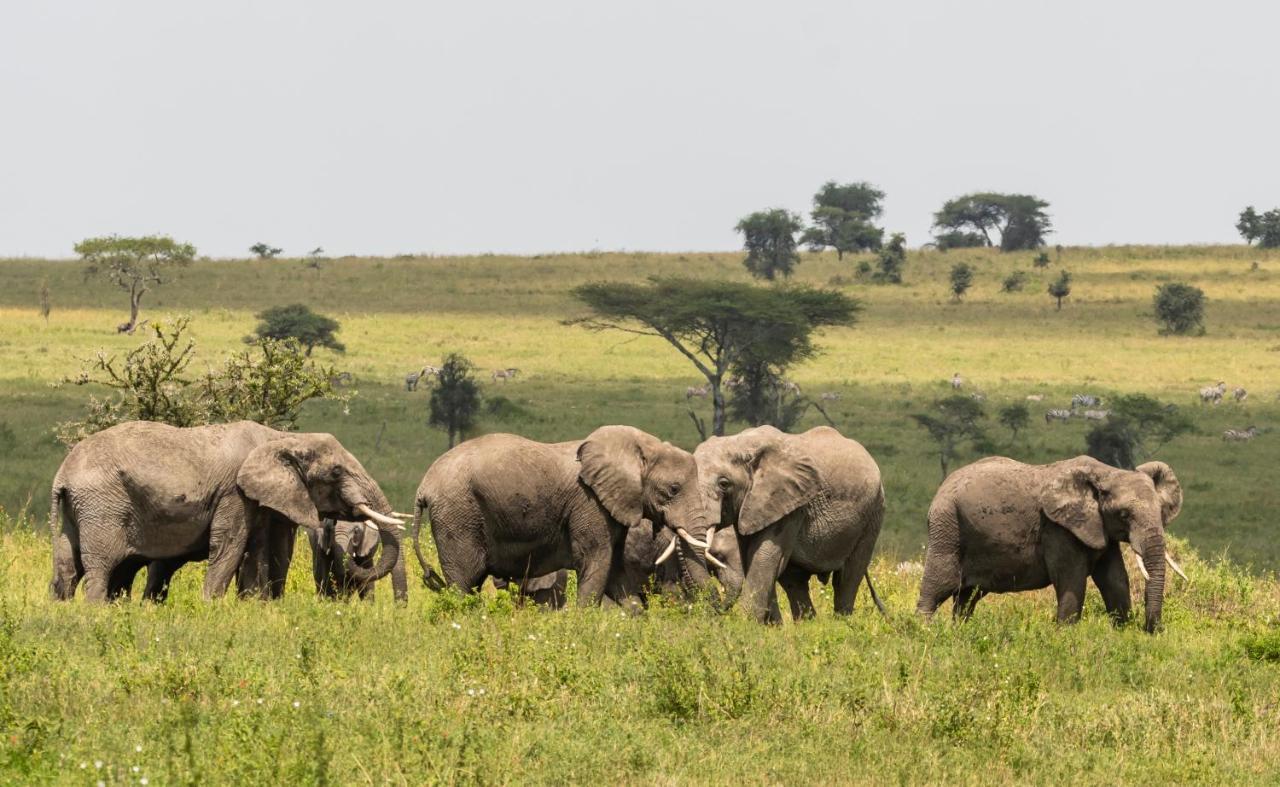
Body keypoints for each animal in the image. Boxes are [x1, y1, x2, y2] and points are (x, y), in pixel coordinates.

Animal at [49, 424, 401, 604]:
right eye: (337, 471)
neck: (281, 437)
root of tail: (62, 475)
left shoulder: (260, 500)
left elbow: (258, 550)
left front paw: (253, 608)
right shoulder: (234, 493)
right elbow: (230, 547)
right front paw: (212, 609)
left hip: (77, 510)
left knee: (67, 566)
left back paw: (62, 609)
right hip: (101, 505)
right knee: (101, 565)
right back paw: (96, 611)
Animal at [412, 427, 721, 606]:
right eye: (673, 489)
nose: (716, 604)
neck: (639, 447)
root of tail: (423, 486)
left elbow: (615, 571)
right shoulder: (589, 504)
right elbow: (596, 562)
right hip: (458, 515)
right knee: (464, 581)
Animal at [696, 427, 885, 624]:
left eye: (724, 484)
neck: (741, 442)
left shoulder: (790, 504)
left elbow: (764, 558)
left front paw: (748, 624)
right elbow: (753, 559)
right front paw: (769, 626)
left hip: (872, 515)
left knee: (848, 576)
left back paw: (841, 624)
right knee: (795, 581)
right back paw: (807, 624)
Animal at [916, 455, 1182, 634]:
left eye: (1160, 511)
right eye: (1124, 514)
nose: (1153, 629)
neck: (1107, 472)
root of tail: (941, 489)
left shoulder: (1100, 529)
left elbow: (1115, 580)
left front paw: (1123, 633)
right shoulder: (1058, 528)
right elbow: (1071, 580)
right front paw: (1065, 638)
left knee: (967, 597)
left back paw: (959, 633)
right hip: (947, 526)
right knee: (940, 585)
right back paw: (923, 633)